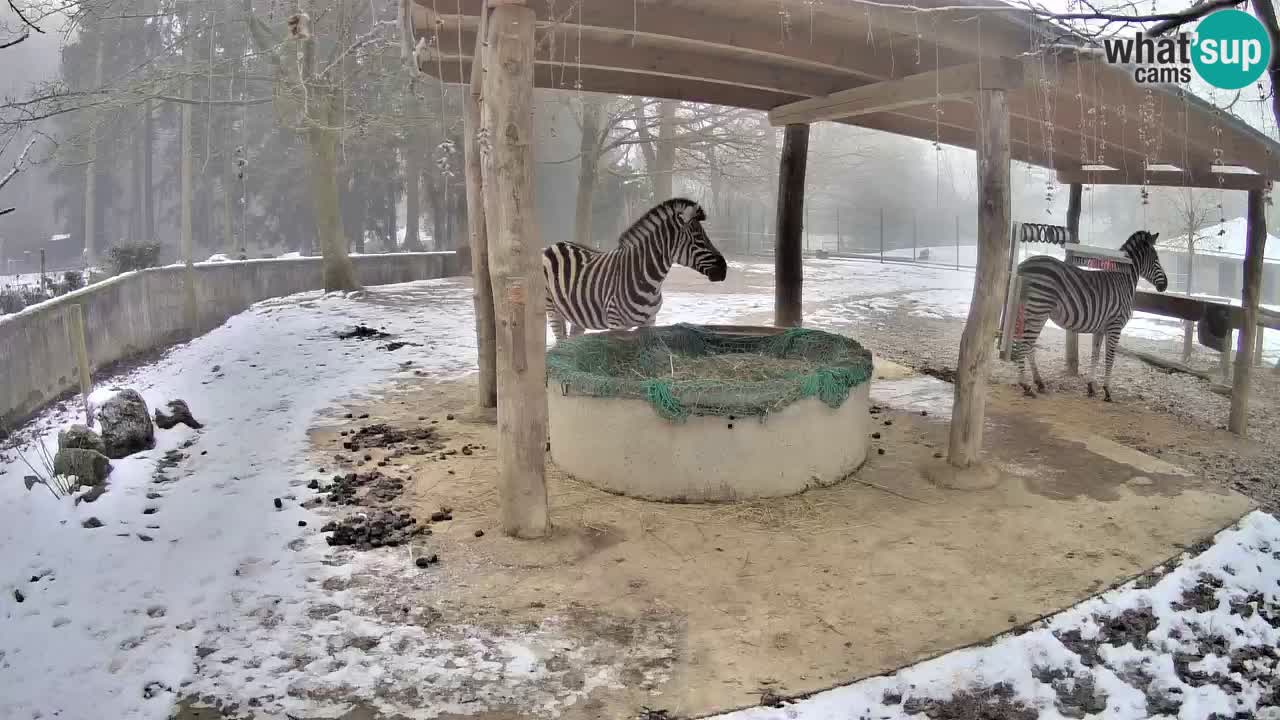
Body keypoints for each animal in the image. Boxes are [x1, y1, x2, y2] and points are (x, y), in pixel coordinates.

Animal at [542, 197, 732, 340]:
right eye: (699, 238)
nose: (724, 269)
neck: (650, 281)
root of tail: (554, 244)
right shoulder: (616, 326)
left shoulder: (649, 323)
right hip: (552, 310)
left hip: (577, 316)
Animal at [1008, 228, 1172, 399]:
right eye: (1156, 259)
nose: (1165, 285)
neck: (1123, 280)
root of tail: (1023, 265)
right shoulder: (1115, 325)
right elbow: (1110, 357)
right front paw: (1107, 390)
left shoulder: (1100, 328)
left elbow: (1095, 355)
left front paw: (1091, 387)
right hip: (1038, 310)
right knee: (1025, 344)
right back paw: (1026, 385)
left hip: (1030, 311)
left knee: (1027, 345)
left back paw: (1038, 382)